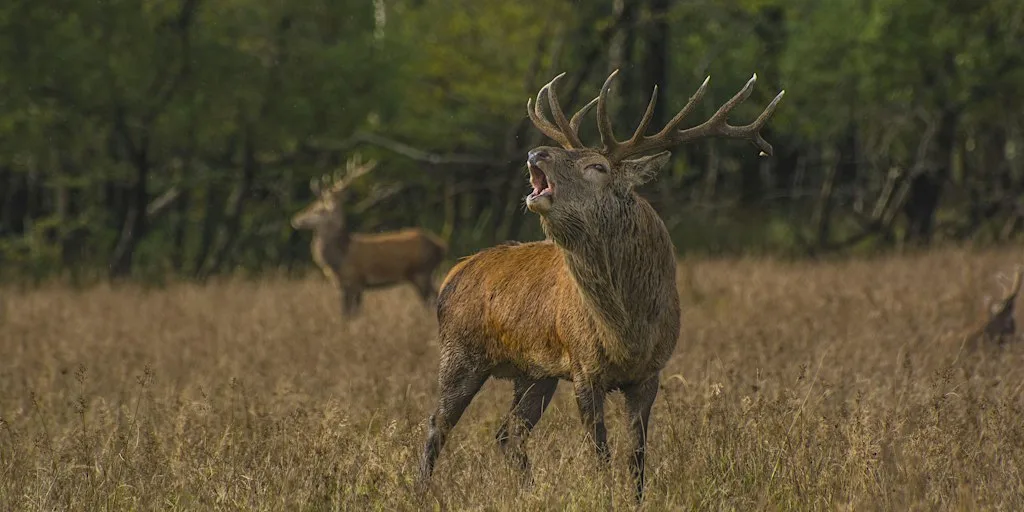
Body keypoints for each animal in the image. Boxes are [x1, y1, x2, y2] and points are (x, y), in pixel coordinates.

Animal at [290, 155, 448, 317]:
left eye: (318, 209)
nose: (295, 219)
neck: (339, 258)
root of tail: (441, 247)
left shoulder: (353, 280)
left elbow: (348, 315)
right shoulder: (349, 285)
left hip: (421, 272)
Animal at [418, 69, 784, 502]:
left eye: (597, 166)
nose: (536, 153)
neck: (626, 331)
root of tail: (453, 274)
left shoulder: (650, 373)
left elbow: (637, 455)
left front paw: (637, 499)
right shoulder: (583, 366)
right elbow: (600, 452)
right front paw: (605, 494)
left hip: (533, 373)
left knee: (508, 434)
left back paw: (528, 491)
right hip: (459, 351)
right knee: (437, 426)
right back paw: (418, 492)